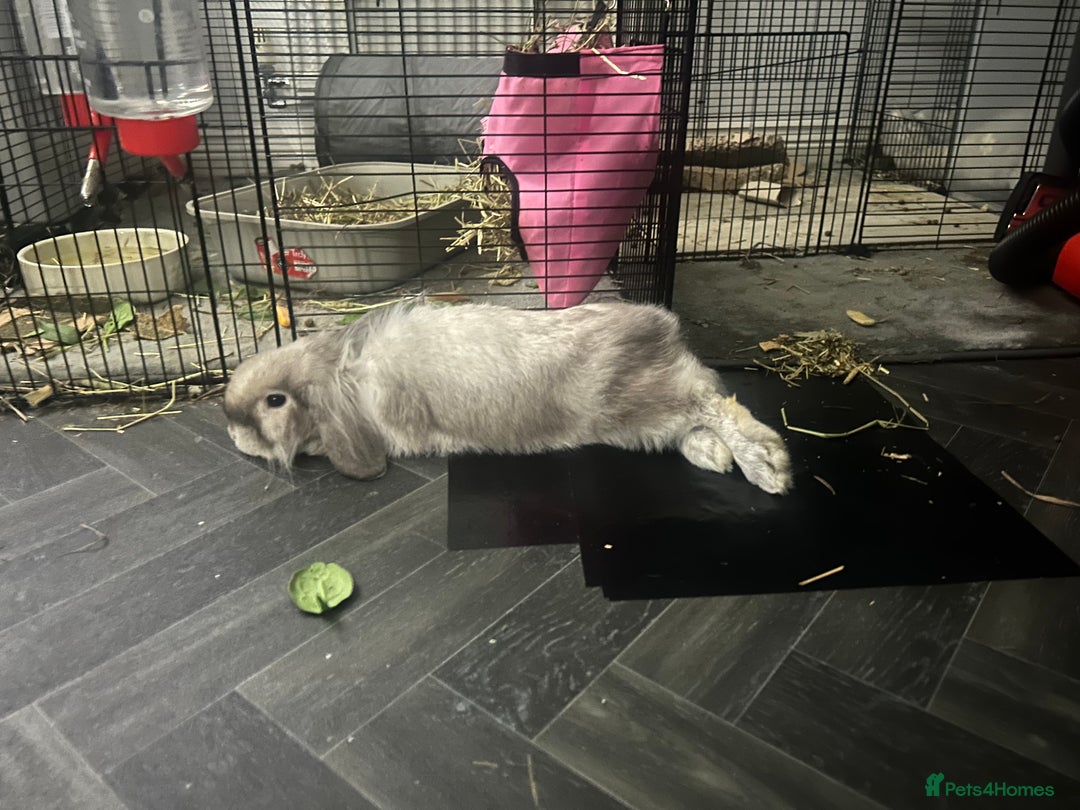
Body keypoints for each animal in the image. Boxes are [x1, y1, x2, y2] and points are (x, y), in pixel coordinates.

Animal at [223, 301, 792, 494]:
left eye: (275, 402)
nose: (229, 427)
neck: (342, 376)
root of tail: (666, 329)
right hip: (642, 420)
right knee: (702, 412)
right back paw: (714, 456)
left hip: (639, 404)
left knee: (718, 406)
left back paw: (768, 468)